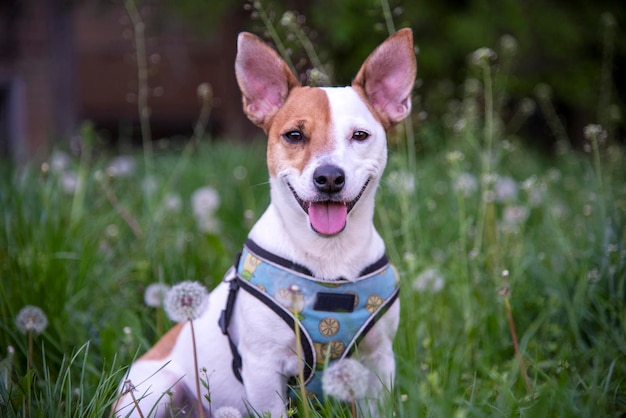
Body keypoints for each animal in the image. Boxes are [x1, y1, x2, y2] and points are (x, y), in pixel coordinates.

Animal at [114, 27, 416, 416]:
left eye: (360, 136)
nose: (329, 177)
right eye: (294, 135)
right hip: (156, 389)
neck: (329, 256)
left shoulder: (378, 362)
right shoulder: (262, 369)